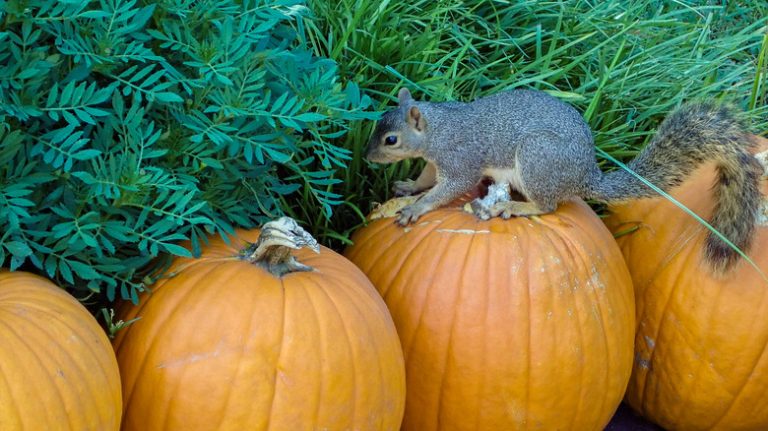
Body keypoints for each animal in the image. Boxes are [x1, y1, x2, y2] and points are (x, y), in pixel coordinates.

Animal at [366, 87, 760, 274]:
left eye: (391, 140)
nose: (367, 157)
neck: (439, 128)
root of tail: (585, 177)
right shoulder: (436, 163)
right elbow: (427, 178)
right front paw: (408, 189)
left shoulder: (461, 161)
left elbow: (449, 189)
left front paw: (416, 207)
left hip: (537, 159)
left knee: (548, 205)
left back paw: (513, 206)